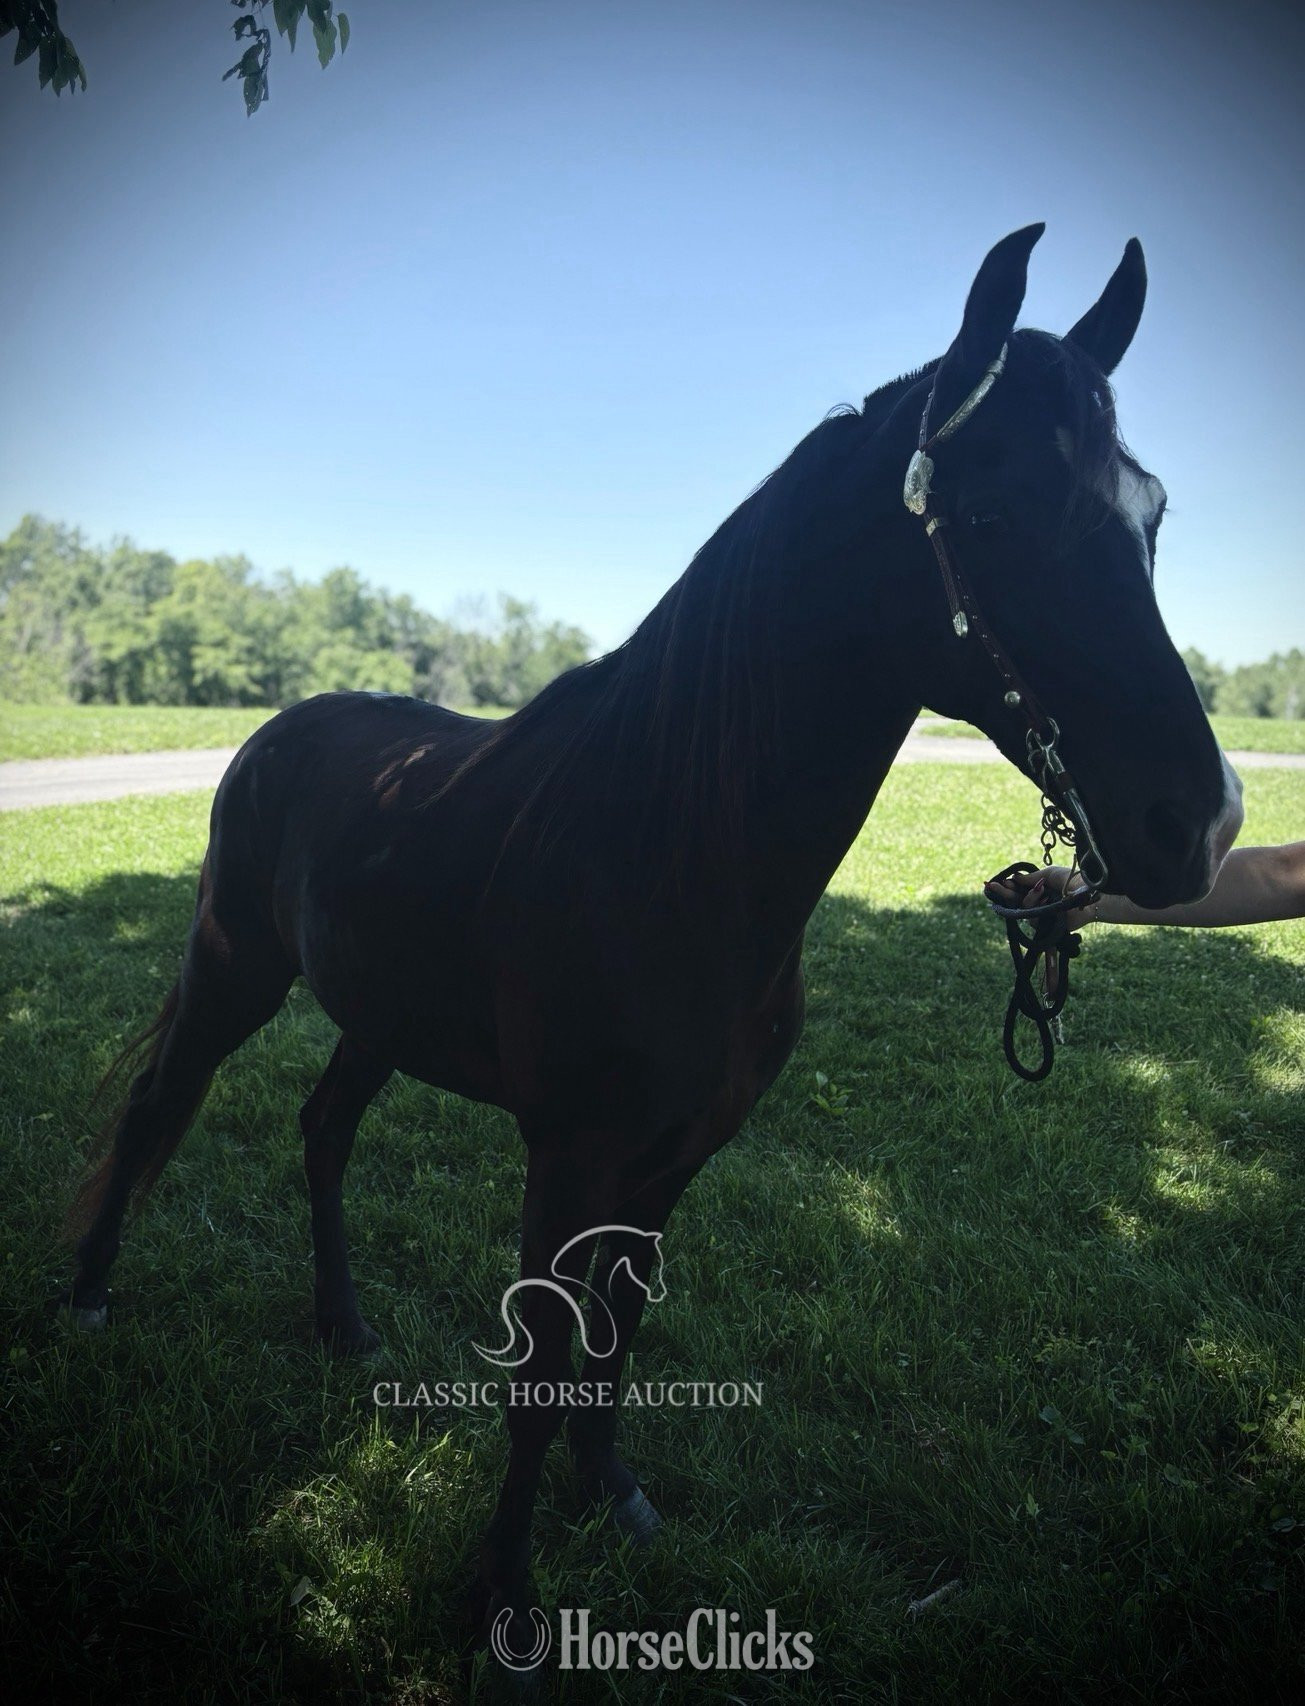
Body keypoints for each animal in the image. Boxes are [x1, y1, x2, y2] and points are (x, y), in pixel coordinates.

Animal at [65, 225, 1242, 1651]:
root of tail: (284, 728)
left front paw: (613, 1493)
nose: (1201, 822)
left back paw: (344, 1329)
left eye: (1151, 516)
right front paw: (506, 1596)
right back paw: (89, 1300)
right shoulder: (567, 1154)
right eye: (996, 517)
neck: (674, 848)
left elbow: (615, 1334)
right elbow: (540, 1360)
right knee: (158, 1106)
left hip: (378, 1014)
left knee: (324, 1127)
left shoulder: (681, 1152)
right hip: (234, 966)